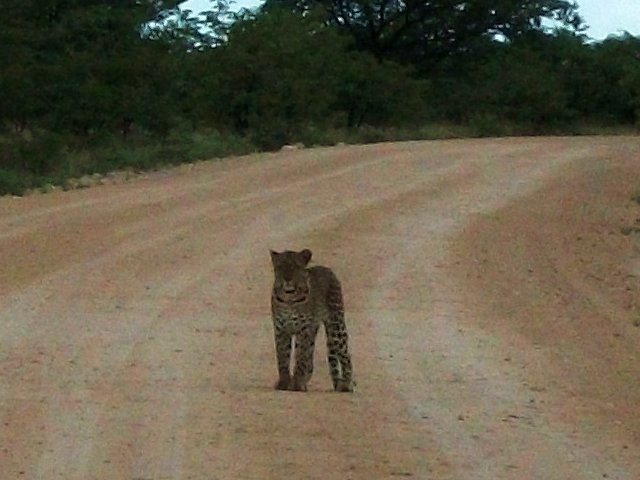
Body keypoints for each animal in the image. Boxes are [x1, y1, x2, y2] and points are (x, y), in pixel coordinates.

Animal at [268, 249, 352, 392]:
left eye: (295, 267)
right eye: (280, 266)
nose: (287, 279)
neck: (289, 298)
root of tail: (327, 269)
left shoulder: (304, 329)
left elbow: (301, 356)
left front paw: (296, 384)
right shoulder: (281, 328)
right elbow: (282, 357)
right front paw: (284, 383)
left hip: (336, 328)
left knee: (345, 354)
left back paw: (347, 384)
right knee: (310, 360)